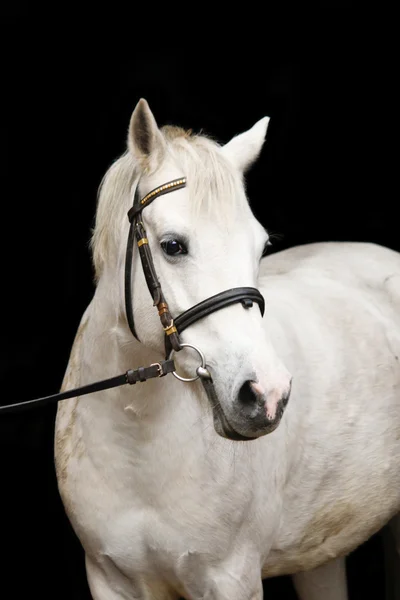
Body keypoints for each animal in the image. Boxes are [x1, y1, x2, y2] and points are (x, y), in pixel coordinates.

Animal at [54, 99, 400, 600]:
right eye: (172, 245)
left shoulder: (230, 579)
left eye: (261, 246)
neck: (137, 444)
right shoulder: (108, 578)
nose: (267, 395)